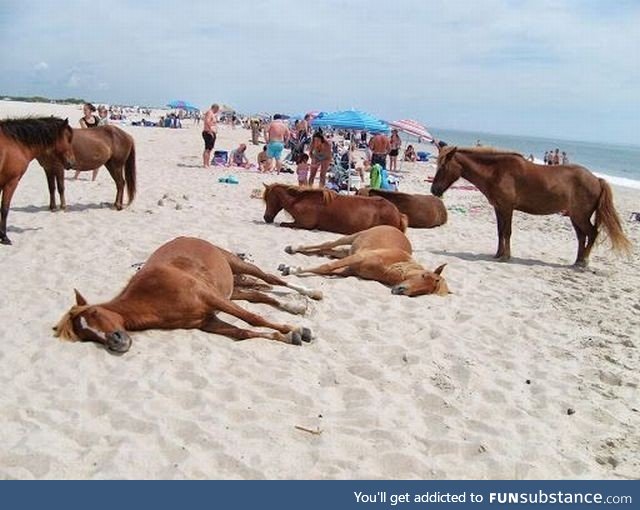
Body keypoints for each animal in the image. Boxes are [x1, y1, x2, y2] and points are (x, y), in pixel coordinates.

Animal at [0, 116, 75, 244]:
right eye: (68, 139)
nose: (72, 162)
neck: (14, 143)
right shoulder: (11, 182)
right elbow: (4, 209)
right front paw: (4, 237)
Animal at [53, 237, 324, 352]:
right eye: (85, 336)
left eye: (95, 312)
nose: (116, 342)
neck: (153, 296)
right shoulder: (207, 321)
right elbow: (243, 332)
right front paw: (289, 336)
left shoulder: (210, 298)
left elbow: (252, 319)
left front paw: (295, 329)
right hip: (232, 292)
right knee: (260, 295)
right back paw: (294, 307)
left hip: (236, 264)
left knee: (271, 279)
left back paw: (310, 294)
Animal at [262, 183, 408, 235]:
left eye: (268, 198)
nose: (266, 217)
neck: (300, 200)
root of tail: (398, 213)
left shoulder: (303, 224)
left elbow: (284, 224)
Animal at [278, 226, 448, 296]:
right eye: (424, 275)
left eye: (425, 291)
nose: (400, 290)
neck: (390, 266)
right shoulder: (357, 258)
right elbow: (326, 266)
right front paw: (292, 269)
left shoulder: (349, 269)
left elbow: (326, 269)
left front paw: (291, 268)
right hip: (351, 237)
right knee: (327, 244)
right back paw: (293, 248)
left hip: (347, 251)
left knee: (326, 250)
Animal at [430, 146, 632, 266]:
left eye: (443, 167)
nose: (434, 190)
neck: (496, 171)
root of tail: (596, 179)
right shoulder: (498, 208)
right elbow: (500, 231)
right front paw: (498, 254)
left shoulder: (507, 208)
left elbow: (507, 232)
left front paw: (506, 256)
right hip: (576, 217)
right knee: (582, 237)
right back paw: (577, 260)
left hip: (580, 216)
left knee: (592, 234)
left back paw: (584, 262)